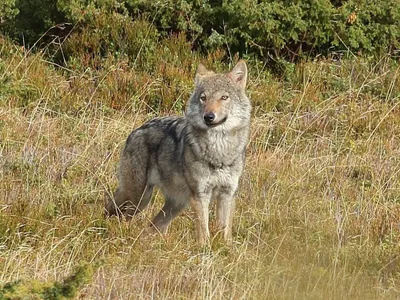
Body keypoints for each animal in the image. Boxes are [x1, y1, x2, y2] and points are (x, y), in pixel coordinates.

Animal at [104, 60, 252, 244]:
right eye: (203, 97)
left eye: (224, 97)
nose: (208, 116)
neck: (219, 152)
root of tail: (136, 130)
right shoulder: (200, 195)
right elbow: (204, 232)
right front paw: (205, 248)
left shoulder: (228, 194)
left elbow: (225, 232)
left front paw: (225, 248)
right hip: (137, 196)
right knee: (113, 210)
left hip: (174, 203)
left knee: (154, 225)